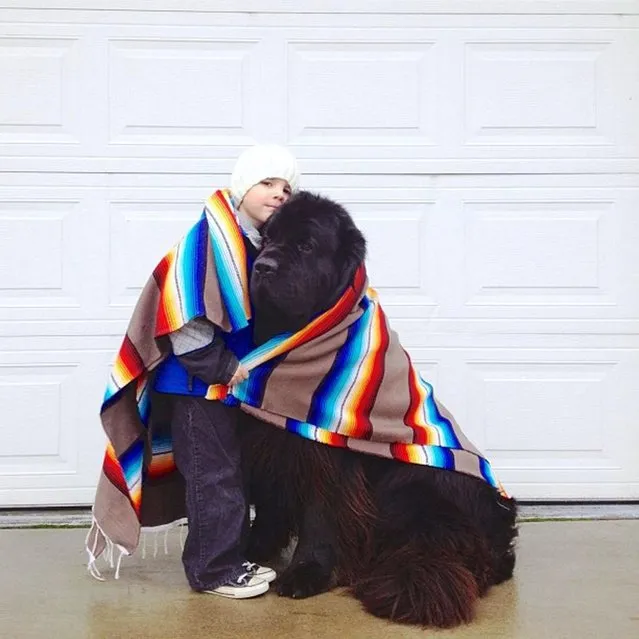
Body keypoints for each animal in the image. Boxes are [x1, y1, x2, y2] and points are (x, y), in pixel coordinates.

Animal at [241, 191, 520, 632]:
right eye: (267, 239)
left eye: (306, 245)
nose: (263, 266)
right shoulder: (272, 438)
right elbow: (270, 503)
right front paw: (254, 547)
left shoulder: (328, 454)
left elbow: (320, 514)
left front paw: (306, 572)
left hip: (412, 487)